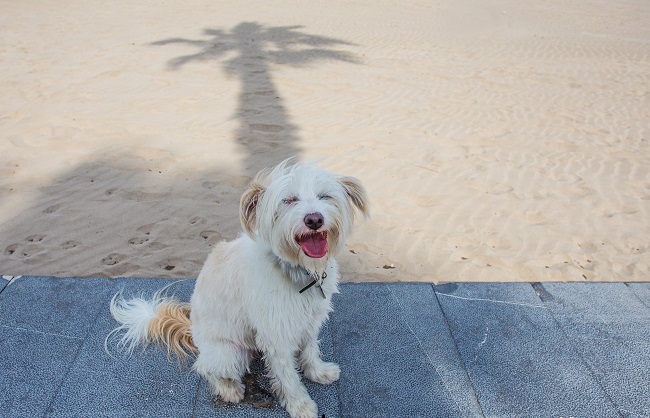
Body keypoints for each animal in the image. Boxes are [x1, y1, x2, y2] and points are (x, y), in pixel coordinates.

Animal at [109, 159, 368, 418]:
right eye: (289, 200)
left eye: (325, 196)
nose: (314, 220)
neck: (297, 270)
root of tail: (192, 332)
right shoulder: (276, 334)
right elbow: (287, 376)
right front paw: (300, 405)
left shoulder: (309, 320)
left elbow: (310, 349)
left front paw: (318, 372)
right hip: (229, 354)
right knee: (205, 368)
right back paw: (229, 388)